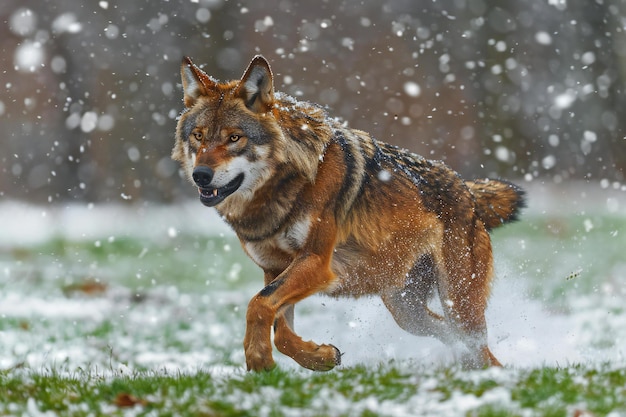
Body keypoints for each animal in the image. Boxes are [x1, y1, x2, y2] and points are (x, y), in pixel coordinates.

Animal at [169, 53, 520, 368]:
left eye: (234, 138)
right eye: (198, 136)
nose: (201, 175)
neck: (282, 189)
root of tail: (468, 191)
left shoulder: (315, 261)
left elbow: (258, 304)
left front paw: (258, 359)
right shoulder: (273, 268)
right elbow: (278, 328)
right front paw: (321, 357)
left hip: (457, 305)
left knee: (479, 348)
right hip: (407, 312)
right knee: (452, 338)